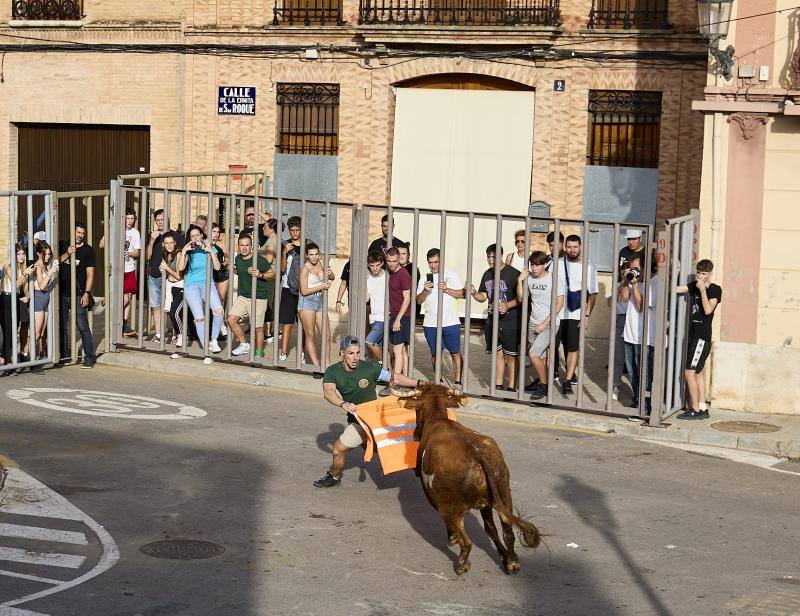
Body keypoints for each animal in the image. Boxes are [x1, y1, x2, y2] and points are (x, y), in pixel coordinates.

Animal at [396, 382, 540, 576]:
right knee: (506, 530)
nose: (415, 434)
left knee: (467, 540)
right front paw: (504, 556)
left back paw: (462, 563)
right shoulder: (488, 504)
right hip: (503, 495)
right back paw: (512, 562)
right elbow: (491, 529)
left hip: (450, 508)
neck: (438, 420)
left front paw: (452, 539)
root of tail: (478, 453)